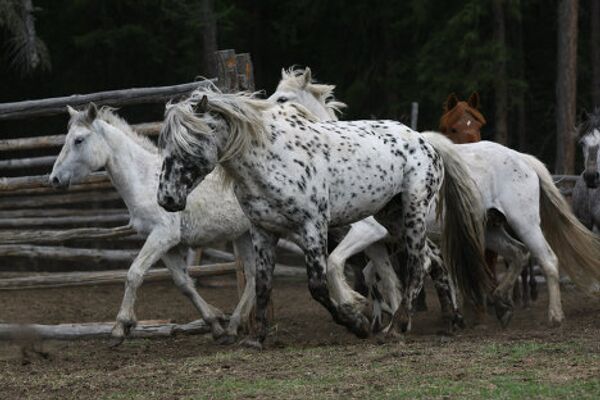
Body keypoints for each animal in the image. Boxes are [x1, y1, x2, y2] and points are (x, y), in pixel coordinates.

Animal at [50, 104, 256, 346]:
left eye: (79, 140)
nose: (54, 179)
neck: (146, 180)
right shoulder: (166, 244)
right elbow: (184, 284)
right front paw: (215, 324)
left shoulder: (163, 235)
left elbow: (134, 273)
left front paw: (121, 327)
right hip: (243, 235)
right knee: (253, 275)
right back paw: (233, 327)